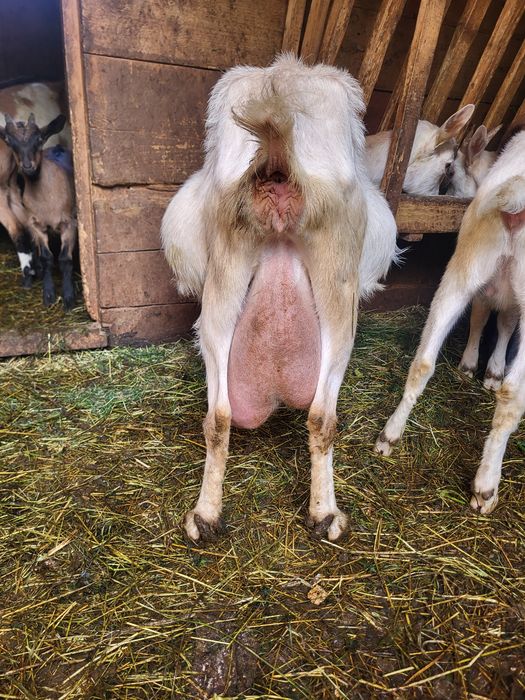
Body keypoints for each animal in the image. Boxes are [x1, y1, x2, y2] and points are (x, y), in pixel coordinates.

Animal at [0, 113, 77, 309]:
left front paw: (69, 298)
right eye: (10, 142)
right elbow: (47, 258)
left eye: (39, 139)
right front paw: (48, 296)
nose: (28, 166)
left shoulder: (69, 223)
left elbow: (65, 259)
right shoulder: (36, 225)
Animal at [162, 54, 398, 542]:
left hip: (224, 281)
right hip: (339, 285)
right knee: (323, 416)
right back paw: (327, 515)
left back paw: (206, 515)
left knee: (220, 418)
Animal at [375, 128, 525, 514]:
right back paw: (486, 486)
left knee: (422, 361)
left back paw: (389, 435)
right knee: (513, 395)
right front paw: (490, 371)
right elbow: (501, 322)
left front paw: (475, 366)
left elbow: (487, 316)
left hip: (462, 268)